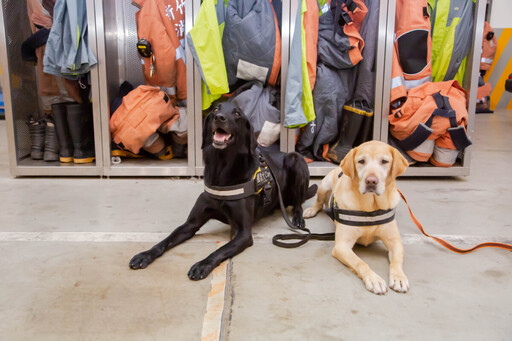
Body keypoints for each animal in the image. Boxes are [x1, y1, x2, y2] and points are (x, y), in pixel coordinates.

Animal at [129, 101, 316, 278]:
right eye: (215, 109)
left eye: (237, 113)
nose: (219, 117)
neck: (221, 168)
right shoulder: (191, 223)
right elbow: (166, 239)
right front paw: (145, 254)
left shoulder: (243, 233)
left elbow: (220, 250)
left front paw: (202, 265)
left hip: (296, 160)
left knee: (299, 202)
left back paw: (298, 219)